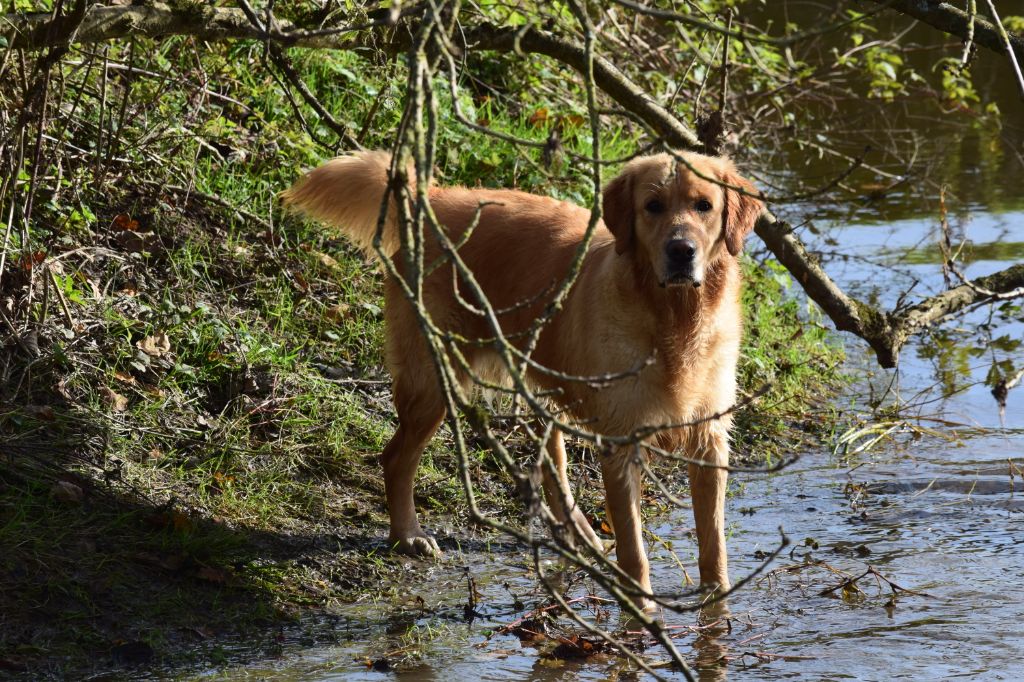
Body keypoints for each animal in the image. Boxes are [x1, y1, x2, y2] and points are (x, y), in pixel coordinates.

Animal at [280, 150, 761, 606]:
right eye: (653, 206)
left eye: (704, 205)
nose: (682, 251)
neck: (675, 319)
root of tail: (431, 197)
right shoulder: (621, 443)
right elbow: (634, 549)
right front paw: (641, 612)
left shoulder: (710, 437)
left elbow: (713, 540)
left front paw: (717, 600)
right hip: (434, 381)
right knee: (397, 457)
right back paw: (408, 536)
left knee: (549, 460)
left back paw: (580, 534)